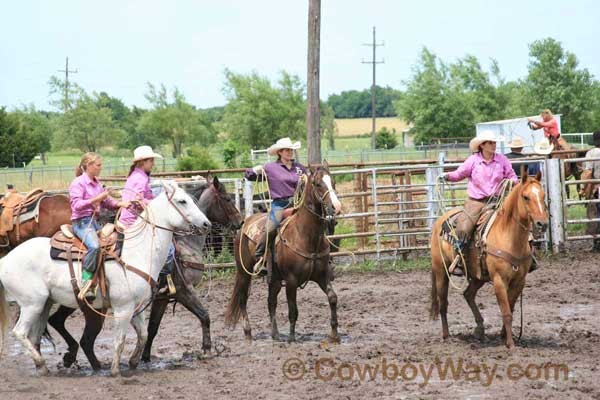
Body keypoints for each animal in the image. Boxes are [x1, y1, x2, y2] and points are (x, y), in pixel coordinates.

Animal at [0, 180, 211, 376]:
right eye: (182, 201)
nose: (206, 224)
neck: (137, 252)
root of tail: (6, 260)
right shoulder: (124, 307)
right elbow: (120, 340)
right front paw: (116, 370)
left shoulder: (137, 306)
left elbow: (143, 334)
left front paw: (133, 362)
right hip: (32, 304)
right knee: (20, 332)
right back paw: (44, 364)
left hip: (45, 303)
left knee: (36, 335)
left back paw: (46, 366)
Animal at [44, 177, 244, 370]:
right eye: (227, 199)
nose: (240, 221)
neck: (186, 245)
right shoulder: (183, 290)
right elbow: (204, 316)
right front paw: (206, 349)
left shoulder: (163, 297)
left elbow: (153, 327)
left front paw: (144, 357)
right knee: (71, 329)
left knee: (56, 320)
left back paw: (70, 357)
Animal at [226, 164, 342, 342]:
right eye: (317, 184)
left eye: (333, 182)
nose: (336, 207)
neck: (305, 235)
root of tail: (245, 223)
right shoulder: (291, 280)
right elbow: (293, 311)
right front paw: (292, 338)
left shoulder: (322, 275)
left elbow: (333, 298)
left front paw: (334, 335)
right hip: (243, 272)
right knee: (242, 298)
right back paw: (248, 332)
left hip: (274, 278)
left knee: (271, 302)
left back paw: (275, 334)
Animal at [432, 172, 548, 350]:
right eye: (526, 197)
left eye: (543, 195)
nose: (542, 224)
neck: (509, 237)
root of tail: (440, 220)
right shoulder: (499, 280)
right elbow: (506, 312)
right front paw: (510, 344)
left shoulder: (520, 281)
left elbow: (511, 308)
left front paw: (503, 336)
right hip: (441, 271)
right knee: (443, 303)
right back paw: (446, 336)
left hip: (478, 276)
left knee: (468, 294)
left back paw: (479, 330)